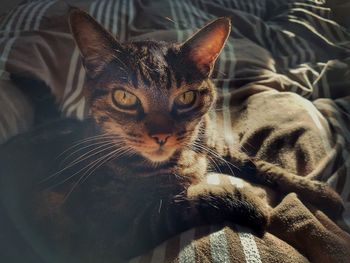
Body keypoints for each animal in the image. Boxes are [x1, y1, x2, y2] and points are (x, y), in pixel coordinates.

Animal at [0, 7, 344, 263]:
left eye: (186, 97)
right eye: (124, 97)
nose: (161, 134)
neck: (186, 158)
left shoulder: (213, 146)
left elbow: (258, 164)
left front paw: (320, 192)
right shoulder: (108, 234)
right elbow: (178, 206)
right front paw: (253, 205)